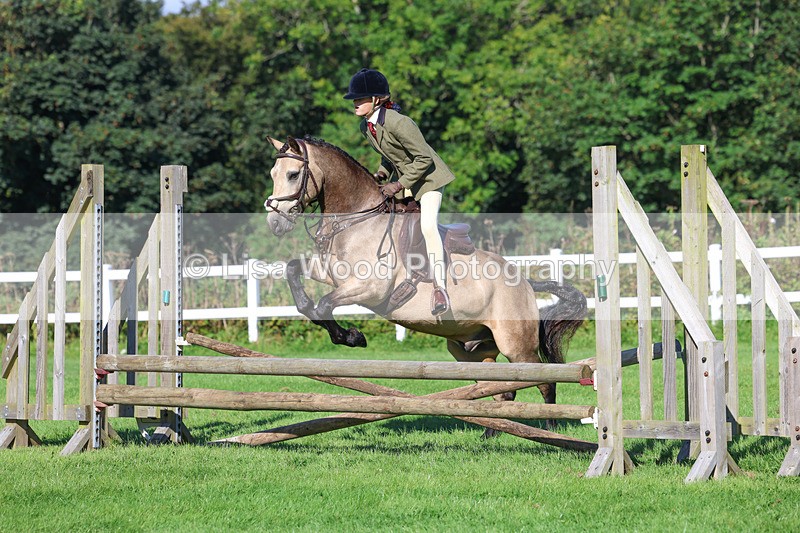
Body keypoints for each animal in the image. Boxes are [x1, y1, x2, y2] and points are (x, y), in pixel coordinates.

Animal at [264, 135, 587, 432]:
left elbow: (324, 304)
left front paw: (353, 337)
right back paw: (494, 432)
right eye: (272, 174)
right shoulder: (332, 274)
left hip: (516, 346)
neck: (356, 221)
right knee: (501, 391)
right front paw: (342, 331)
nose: (275, 223)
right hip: (471, 350)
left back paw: (550, 427)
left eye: (293, 174)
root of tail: (525, 283)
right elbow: (296, 277)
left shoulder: (369, 288)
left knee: (543, 380)